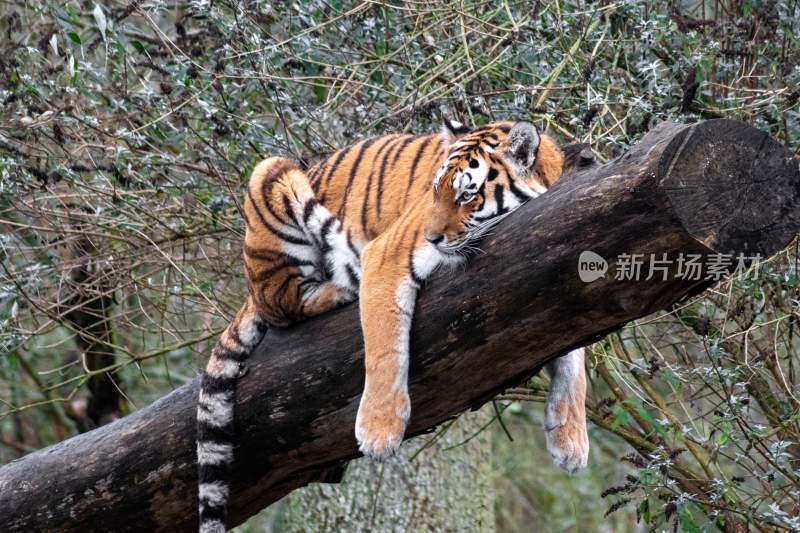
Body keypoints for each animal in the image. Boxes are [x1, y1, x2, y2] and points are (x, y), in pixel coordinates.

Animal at [197, 118, 592, 528]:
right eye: (435, 190)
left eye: (466, 196)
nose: (431, 237)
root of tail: (249, 288)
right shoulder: (385, 257)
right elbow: (385, 350)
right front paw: (378, 432)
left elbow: (574, 359)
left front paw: (571, 440)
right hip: (273, 174)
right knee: (283, 304)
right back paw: (340, 288)